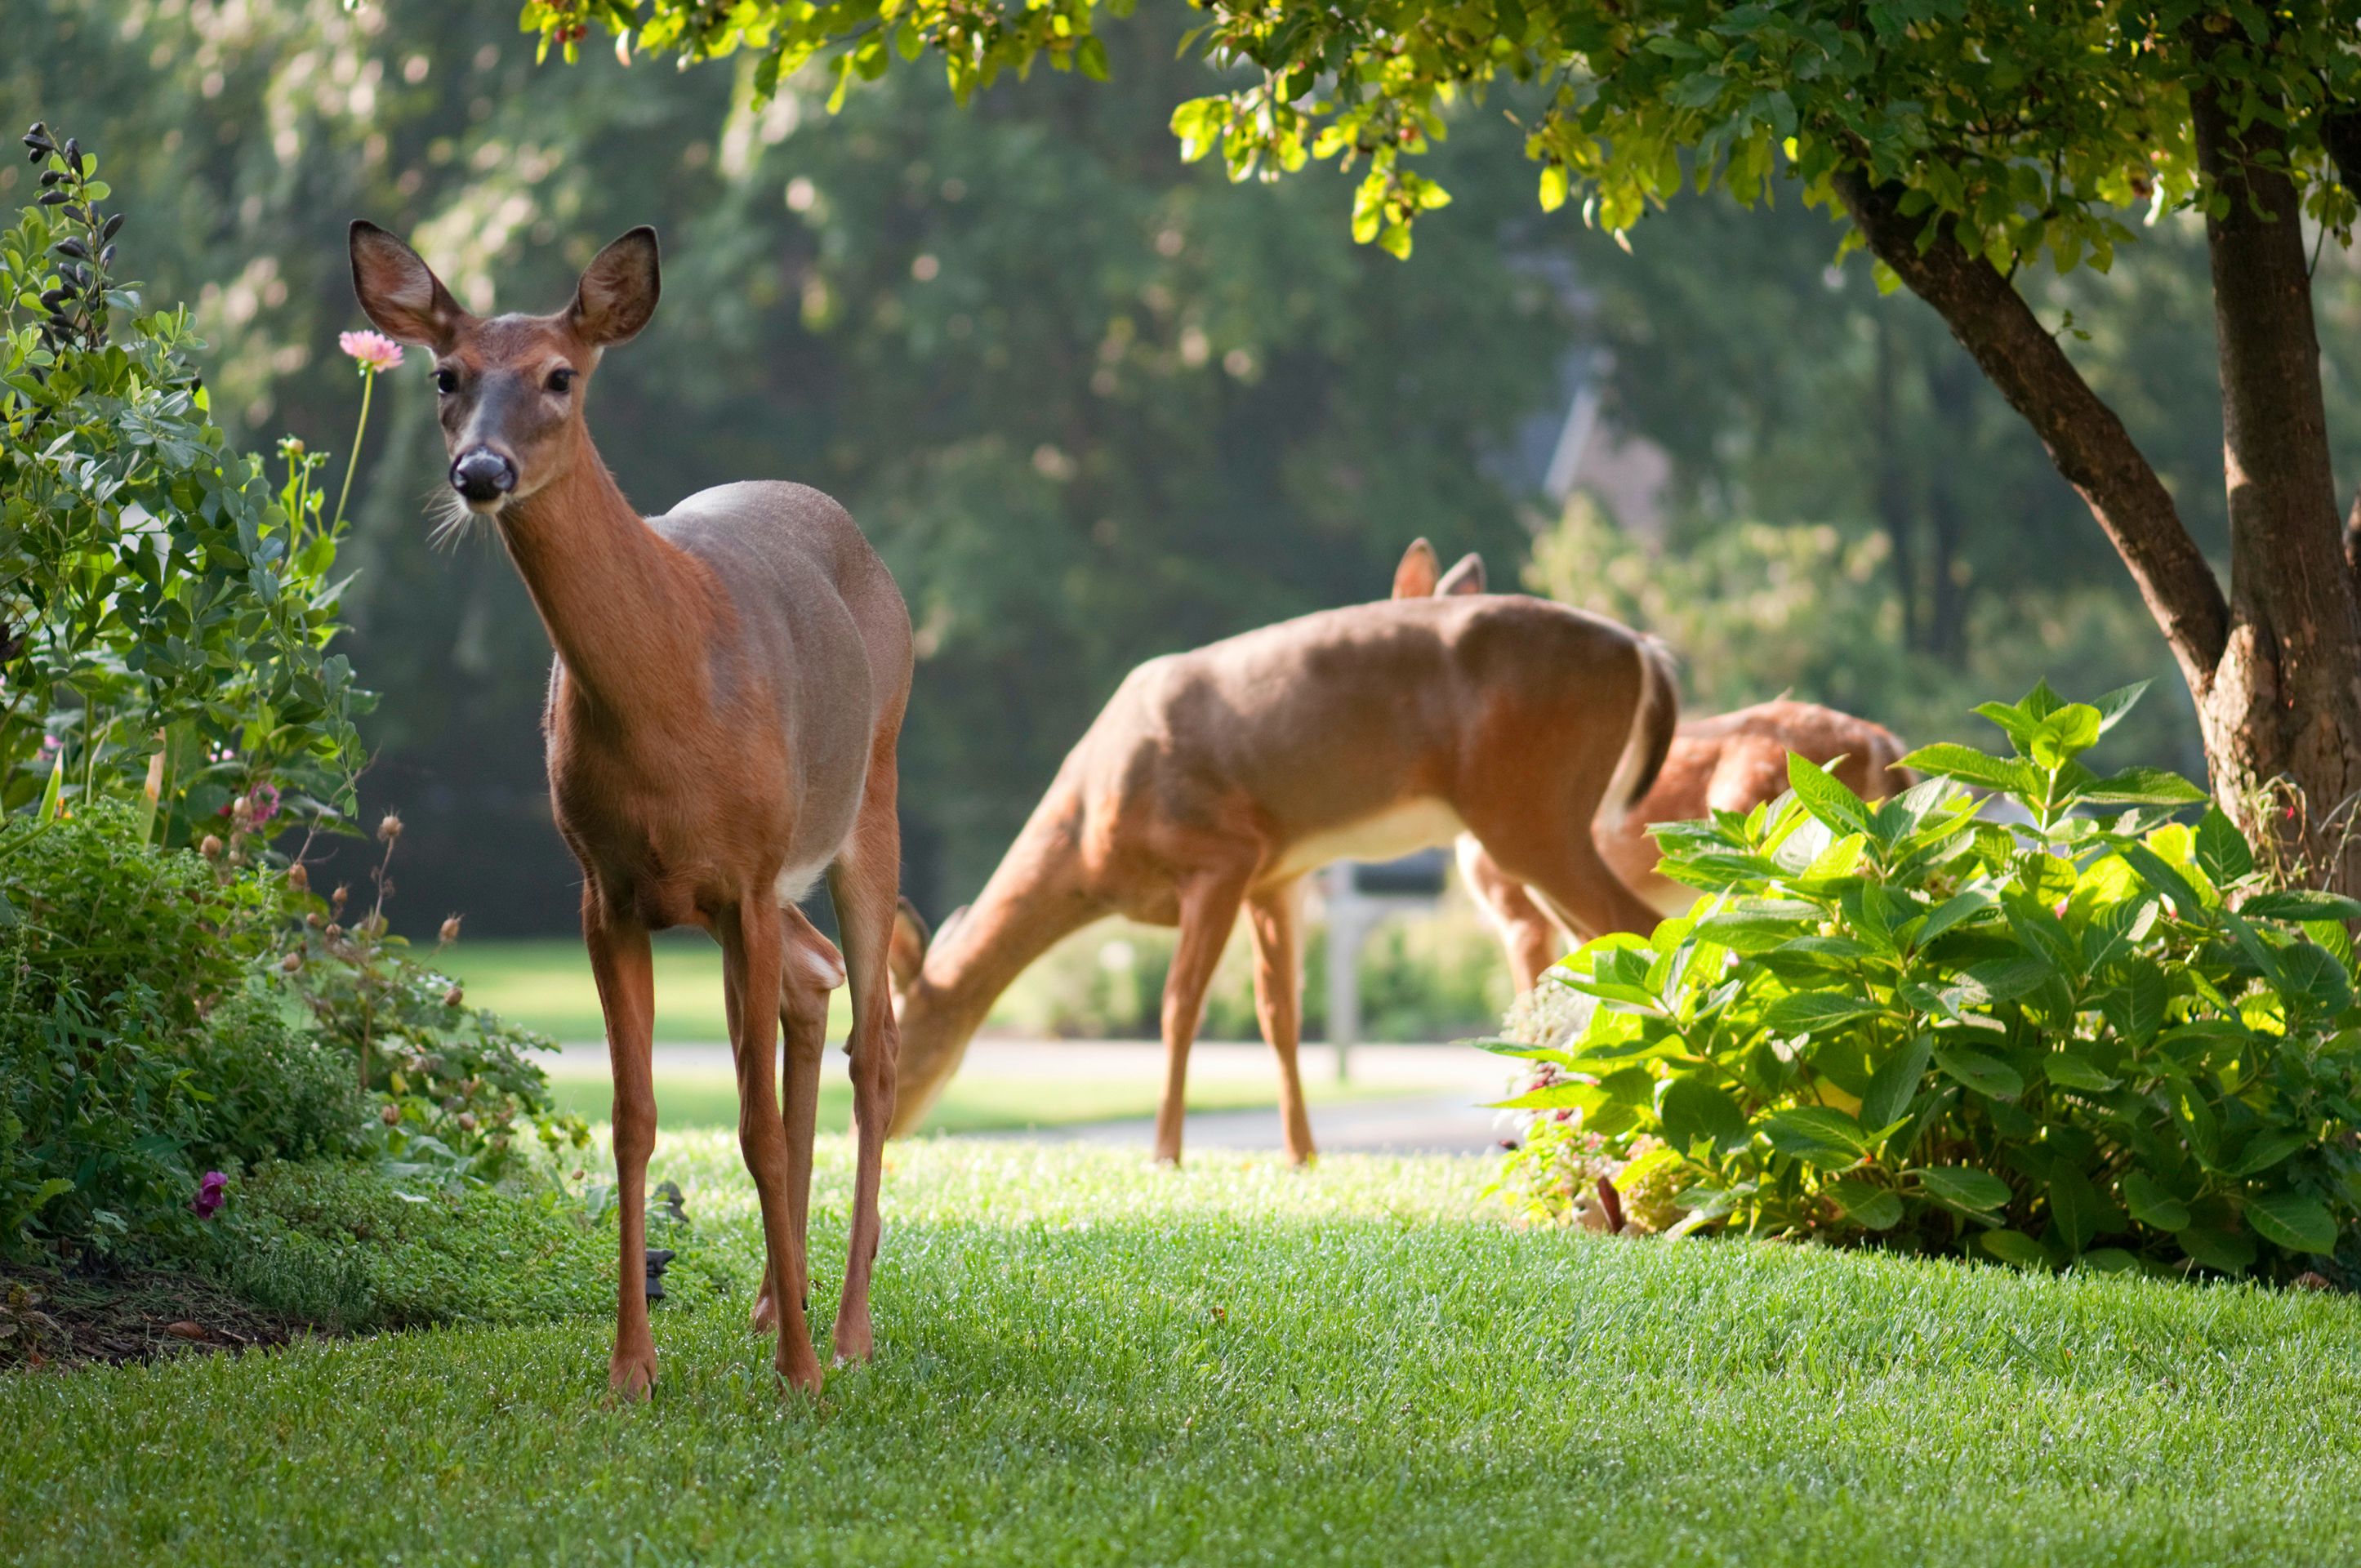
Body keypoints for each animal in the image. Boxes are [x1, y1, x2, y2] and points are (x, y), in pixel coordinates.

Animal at [349, 220, 911, 1397]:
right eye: (446, 375)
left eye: (562, 376)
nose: (480, 471)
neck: (667, 701)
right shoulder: (603, 888)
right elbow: (633, 1121)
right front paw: (630, 1370)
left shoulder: (745, 874)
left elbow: (750, 1126)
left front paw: (798, 1375)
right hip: (758, 881)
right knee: (814, 982)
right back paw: (772, 1301)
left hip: (864, 794)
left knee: (875, 1042)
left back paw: (844, 1332)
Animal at [888, 557, 1681, 1156]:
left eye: (898, 1040)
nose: (887, 1132)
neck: (1090, 839)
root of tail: (1641, 648)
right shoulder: (1279, 875)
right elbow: (1281, 1015)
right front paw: (1302, 1155)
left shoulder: (1221, 855)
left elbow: (1179, 1008)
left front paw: (1165, 1155)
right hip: (1537, 819)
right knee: (1597, 954)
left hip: (1528, 807)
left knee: (1643, 928)